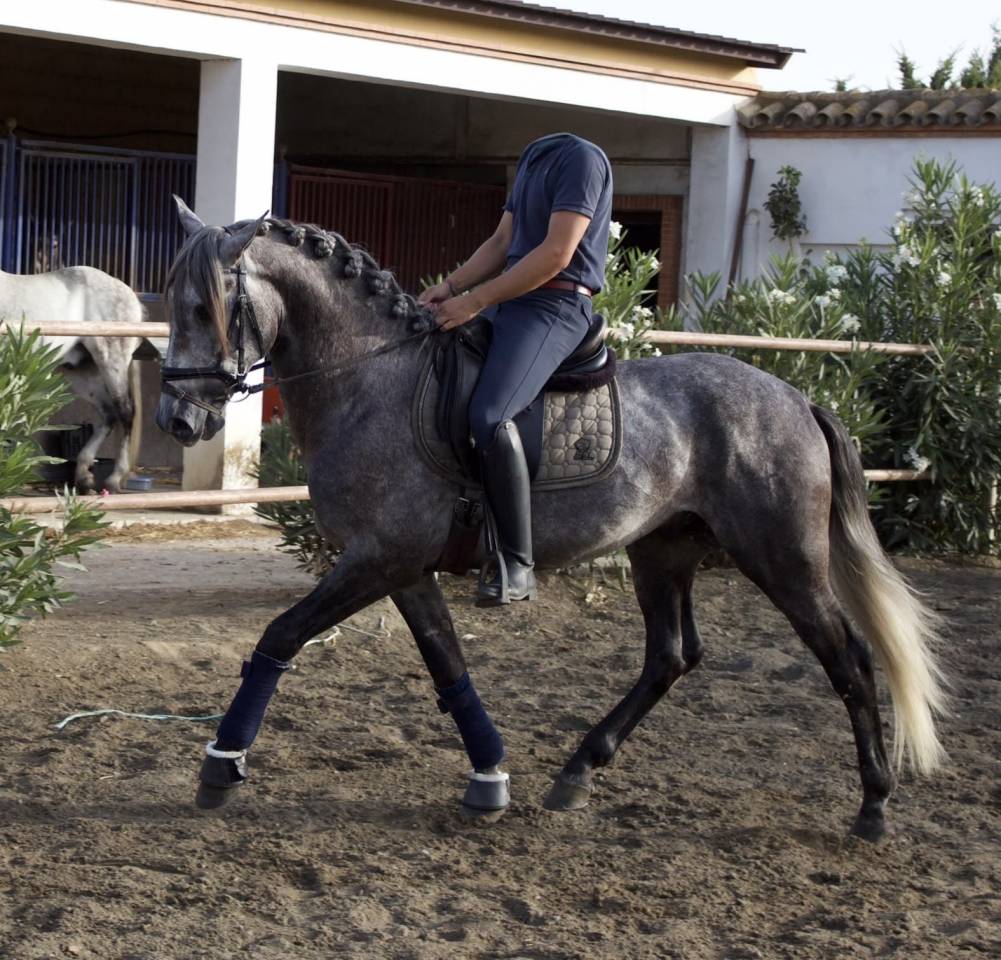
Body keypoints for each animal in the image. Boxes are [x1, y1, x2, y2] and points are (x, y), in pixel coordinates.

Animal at [0, 266, 144, 493]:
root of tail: (129, 293)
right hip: (84, 373)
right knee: (108, 415)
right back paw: (84, 477)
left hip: (112, 360)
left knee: (125, 412)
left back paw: (113, 479)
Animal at [155, 198, 947, 842]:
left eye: (203, 309)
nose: (177, 421)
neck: (370, 377)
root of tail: (796, 398)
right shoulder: (400, 567)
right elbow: (448, 663)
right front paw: (489, 778)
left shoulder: (378, 558)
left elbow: (280, 635)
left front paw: (220, 766)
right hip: (663, 551)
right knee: (670, 656)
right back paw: (578, 771)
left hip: (783, 558)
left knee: (848, 659)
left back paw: (874, 806)